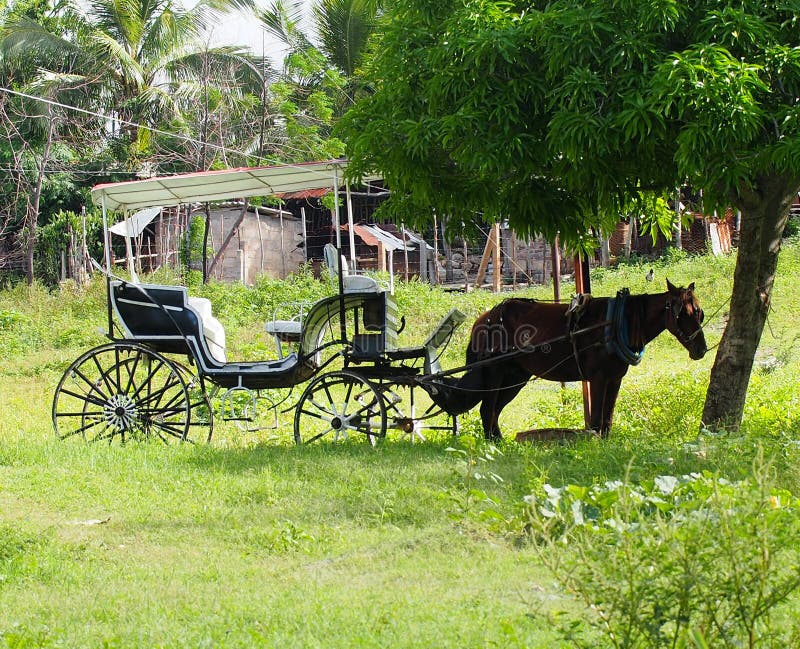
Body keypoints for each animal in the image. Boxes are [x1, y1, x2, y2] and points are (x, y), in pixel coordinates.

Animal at [424, 280, 708, 440]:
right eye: (682, 313)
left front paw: (606, 443)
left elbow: (608, 418)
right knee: (487, 408)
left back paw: (500, 441)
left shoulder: (615, 378)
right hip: (494, 373)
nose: (702, 349)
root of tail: (484, 318)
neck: (618, 322)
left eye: (700, 313)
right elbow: (596, 420)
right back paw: (492, 444)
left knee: (494, 410)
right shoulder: (598, 378)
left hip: (515, 378)